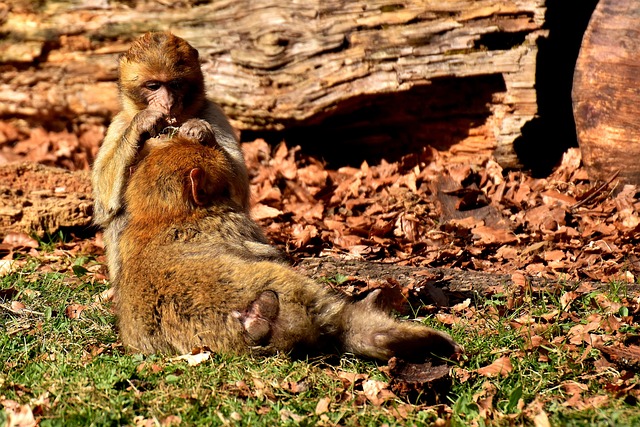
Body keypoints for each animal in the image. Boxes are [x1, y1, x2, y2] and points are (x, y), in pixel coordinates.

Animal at [92, 32, 250, 280]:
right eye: (153, 86)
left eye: (175, 84)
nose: (167, 102)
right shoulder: (119, 123)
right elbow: (103, 203)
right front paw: (142, 124)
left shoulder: (215, 114)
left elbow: (240, 193)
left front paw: (200, 131)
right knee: (117, 216)